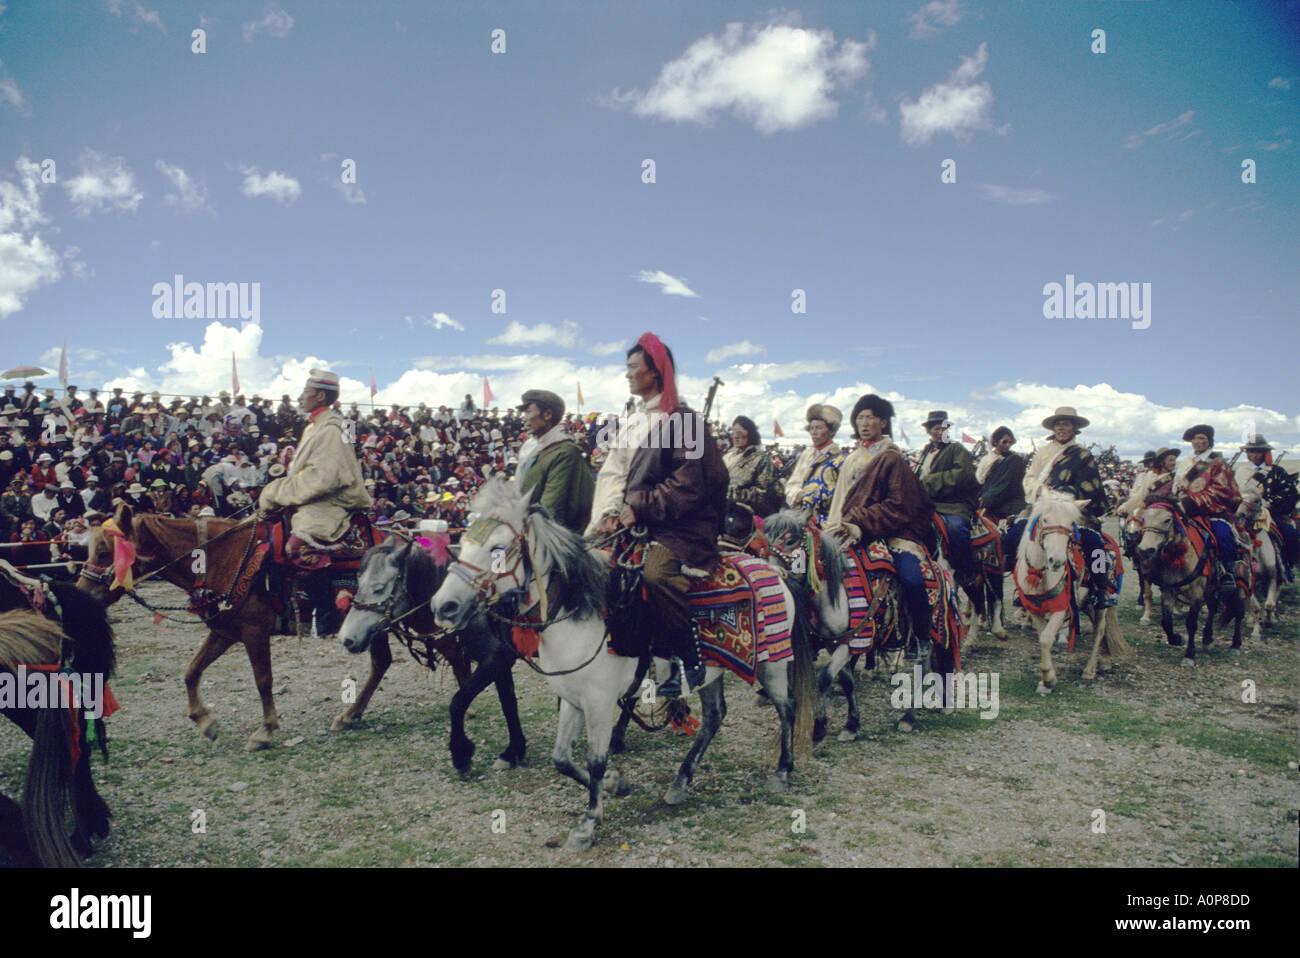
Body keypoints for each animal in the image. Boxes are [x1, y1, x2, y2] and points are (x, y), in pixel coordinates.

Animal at [431, 480, 806, 847]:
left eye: (497, 548)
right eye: (462, 543)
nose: (443, 606)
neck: (580, 615)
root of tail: (774, 570)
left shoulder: (599, 701)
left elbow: (595, 760)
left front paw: (588, 823)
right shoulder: (572, 698)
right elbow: (561, 758)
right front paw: (616, 785)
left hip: (772, 665)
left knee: (786, 707)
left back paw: (782, 771)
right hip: (711, 673)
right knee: (714, 717)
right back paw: (681, 781)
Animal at [1008, 488, 1123, 691]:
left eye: (1071, 523)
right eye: (1045, 520)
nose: (1057, 561)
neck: (1040, 575)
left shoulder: (1061, 608)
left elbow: (1047, 638)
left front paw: (1048, 678)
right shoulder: (1035, 609)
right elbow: (1043, 636)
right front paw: (1048, 677)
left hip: (1101, 603)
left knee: (1100, 630)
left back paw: (1089, 669)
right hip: (1086, 603)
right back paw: (1105, 659)